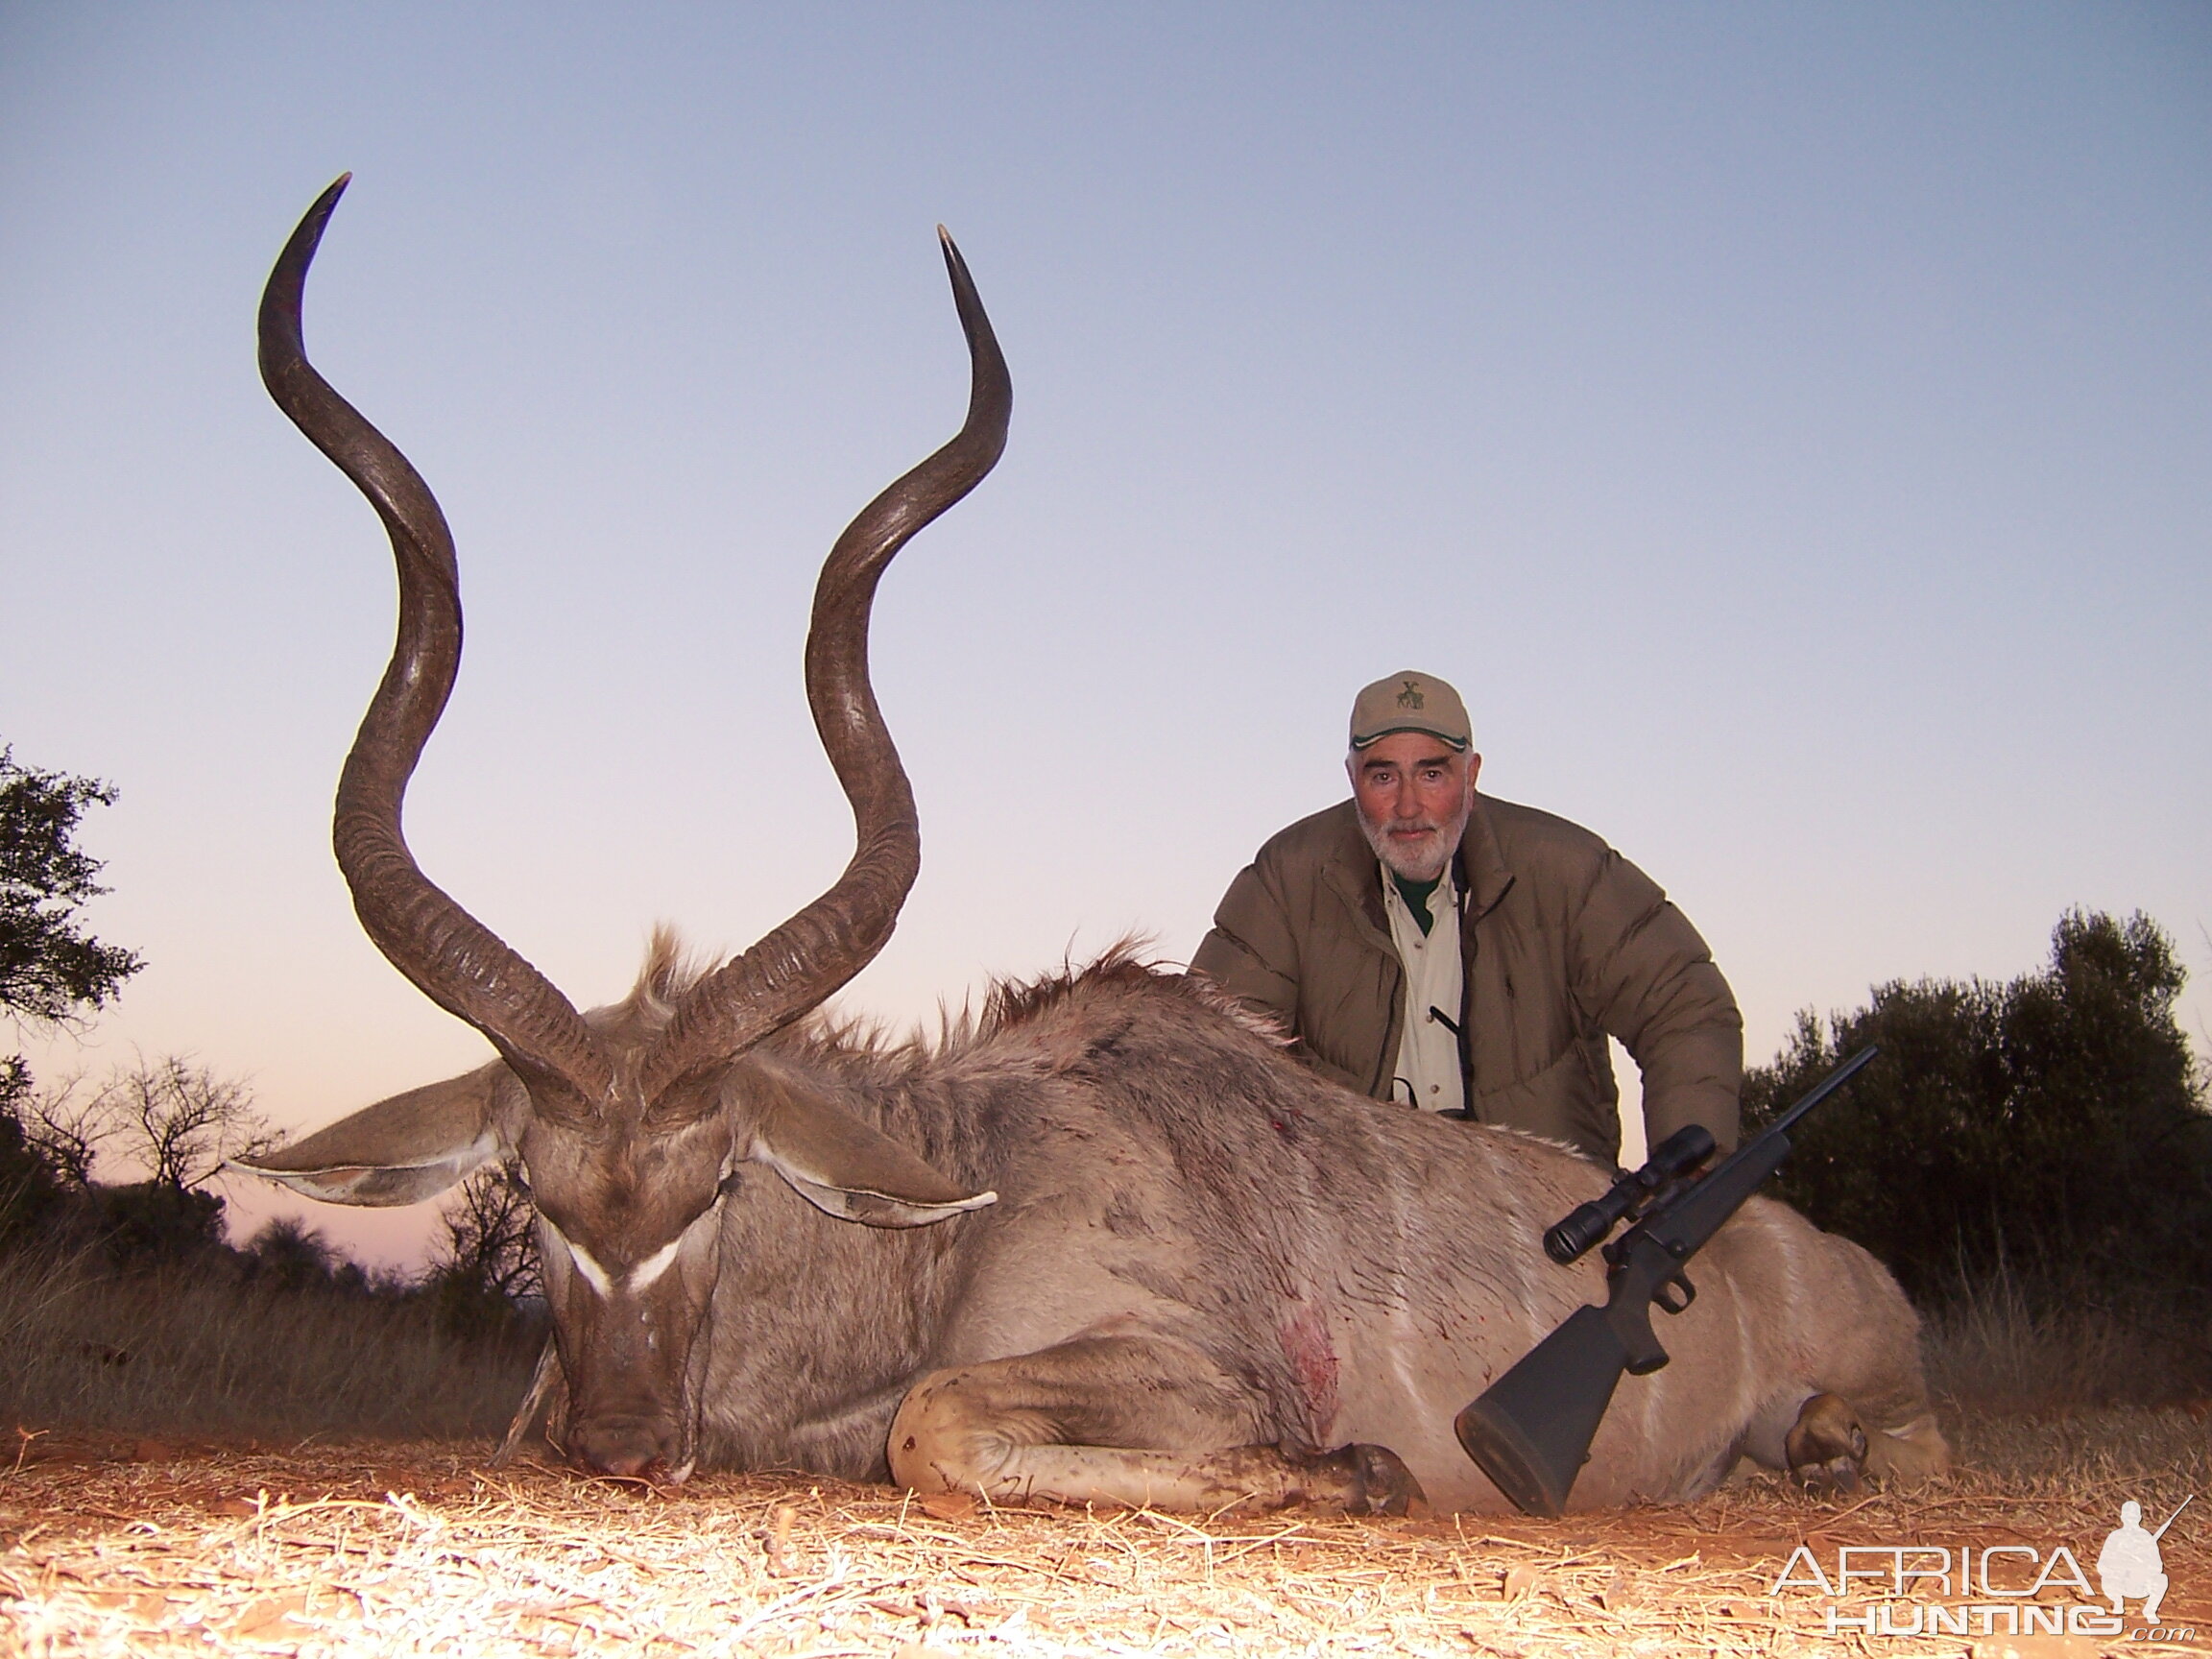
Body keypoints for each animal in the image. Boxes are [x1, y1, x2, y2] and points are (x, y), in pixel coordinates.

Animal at [237, 180, 1955, 1522]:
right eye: (528, 1191)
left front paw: (1352, 1470)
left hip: (1898, 1397)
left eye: (720, 1179)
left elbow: (939, 1426)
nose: (615, 1443)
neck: (967, 1200)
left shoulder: (1168, 1366)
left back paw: (1813, 1448)